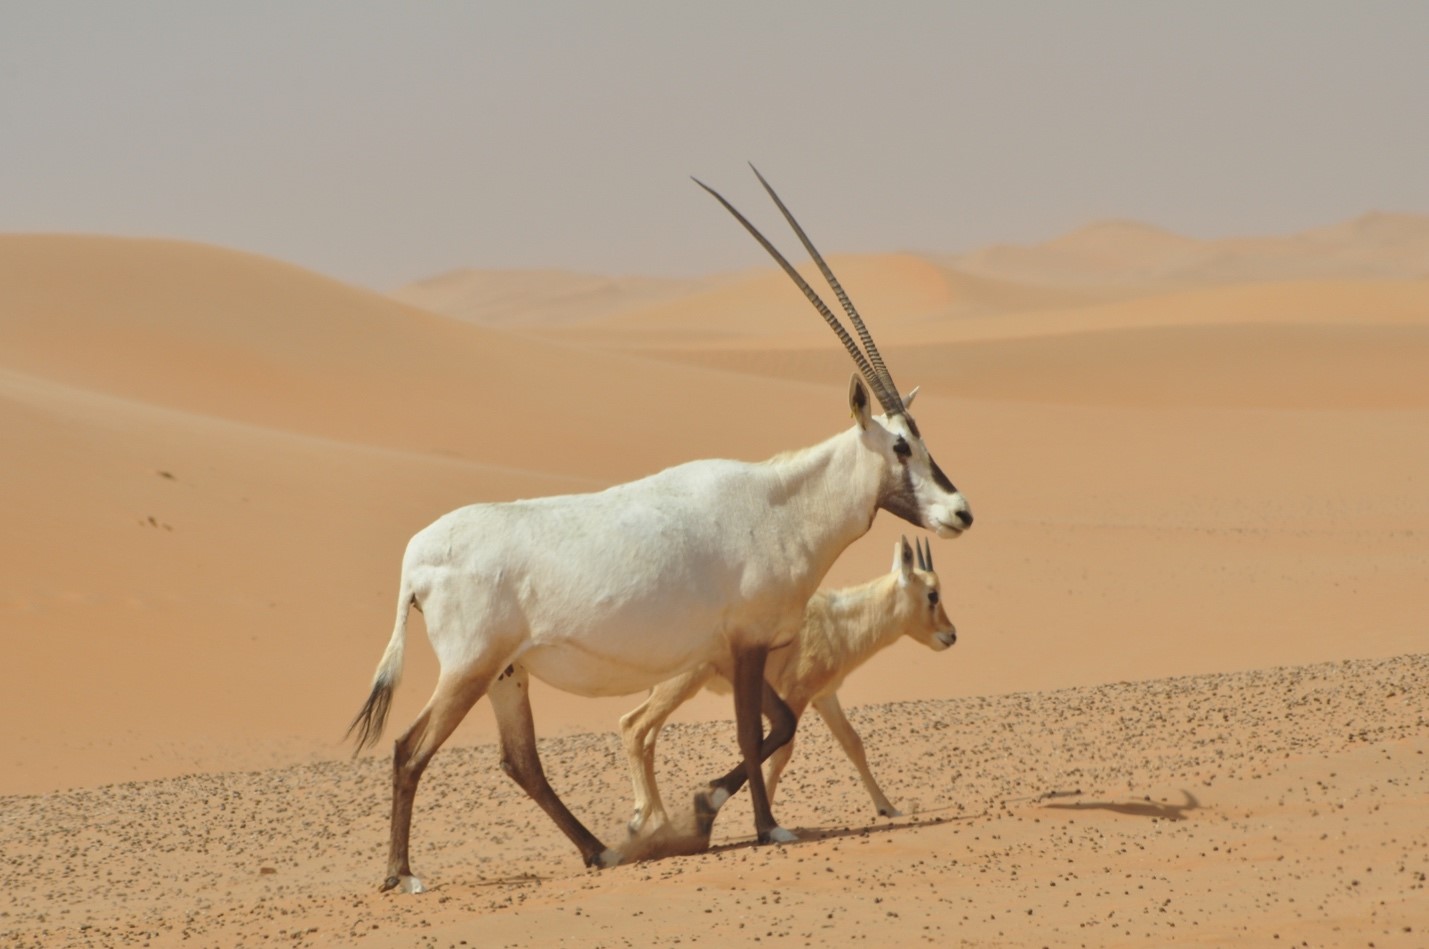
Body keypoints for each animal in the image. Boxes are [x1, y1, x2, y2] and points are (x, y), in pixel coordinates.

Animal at [620, 534, 954, 840]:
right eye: (932, 594)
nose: (951, 635)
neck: (837, 621)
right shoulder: (798, 693)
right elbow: (782, 751)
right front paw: (764, 822)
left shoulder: (825, 696)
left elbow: (853, 743)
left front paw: (888, 807)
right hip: (679, 686)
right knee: (632, 726)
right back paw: (640, 819)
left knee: (647, 740)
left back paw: (661, 824)